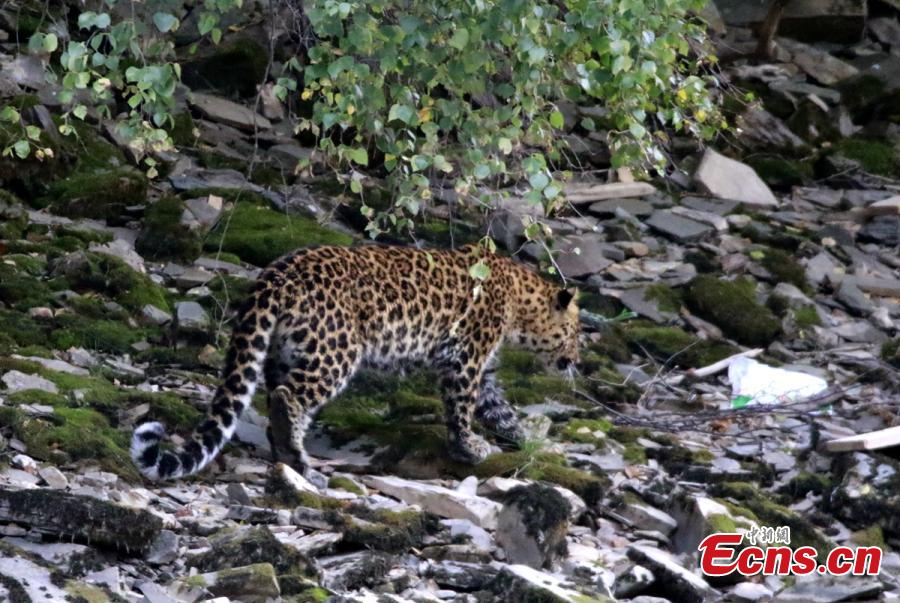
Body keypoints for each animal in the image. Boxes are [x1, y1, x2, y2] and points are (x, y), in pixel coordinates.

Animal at [131, 243, 580, 480]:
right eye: (576, 332)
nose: (575, 359)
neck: (520, 299)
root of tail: (275, 274)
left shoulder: (483, 371)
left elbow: (500, 409)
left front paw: (531, 440)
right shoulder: (466, 358)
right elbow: (462, 408)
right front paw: (469, 447)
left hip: (283, 349)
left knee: (273, 395)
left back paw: (286, 455)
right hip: (336, 351)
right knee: (288, 397)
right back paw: (300, 459)